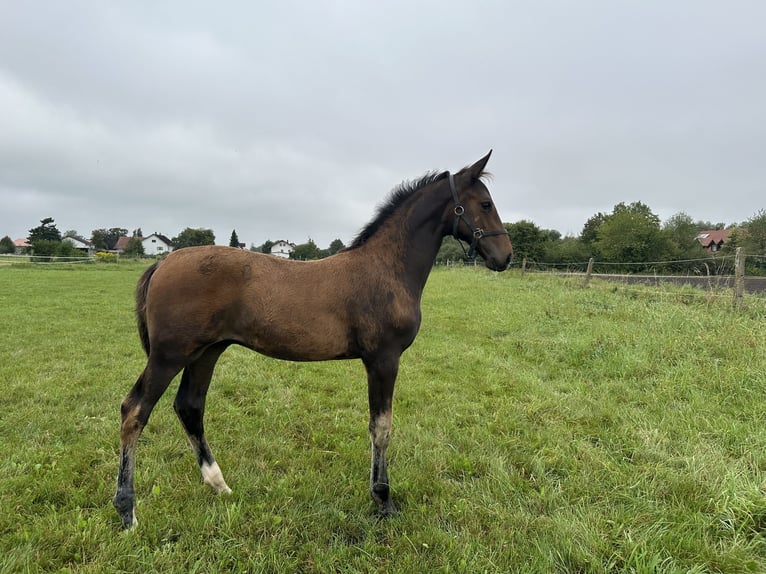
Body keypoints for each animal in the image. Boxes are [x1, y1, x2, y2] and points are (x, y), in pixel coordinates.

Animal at [111, 151, 512, 528]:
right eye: (485, 204)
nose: (505, 256)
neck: (386, 268)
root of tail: (163, 262)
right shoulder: (383, 359)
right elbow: (381, 428)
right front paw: (384, 500)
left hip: (206, 352)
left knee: (190, 406)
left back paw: (218, 484)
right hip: (169, 355)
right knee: (135, 410)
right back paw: (127, 510)